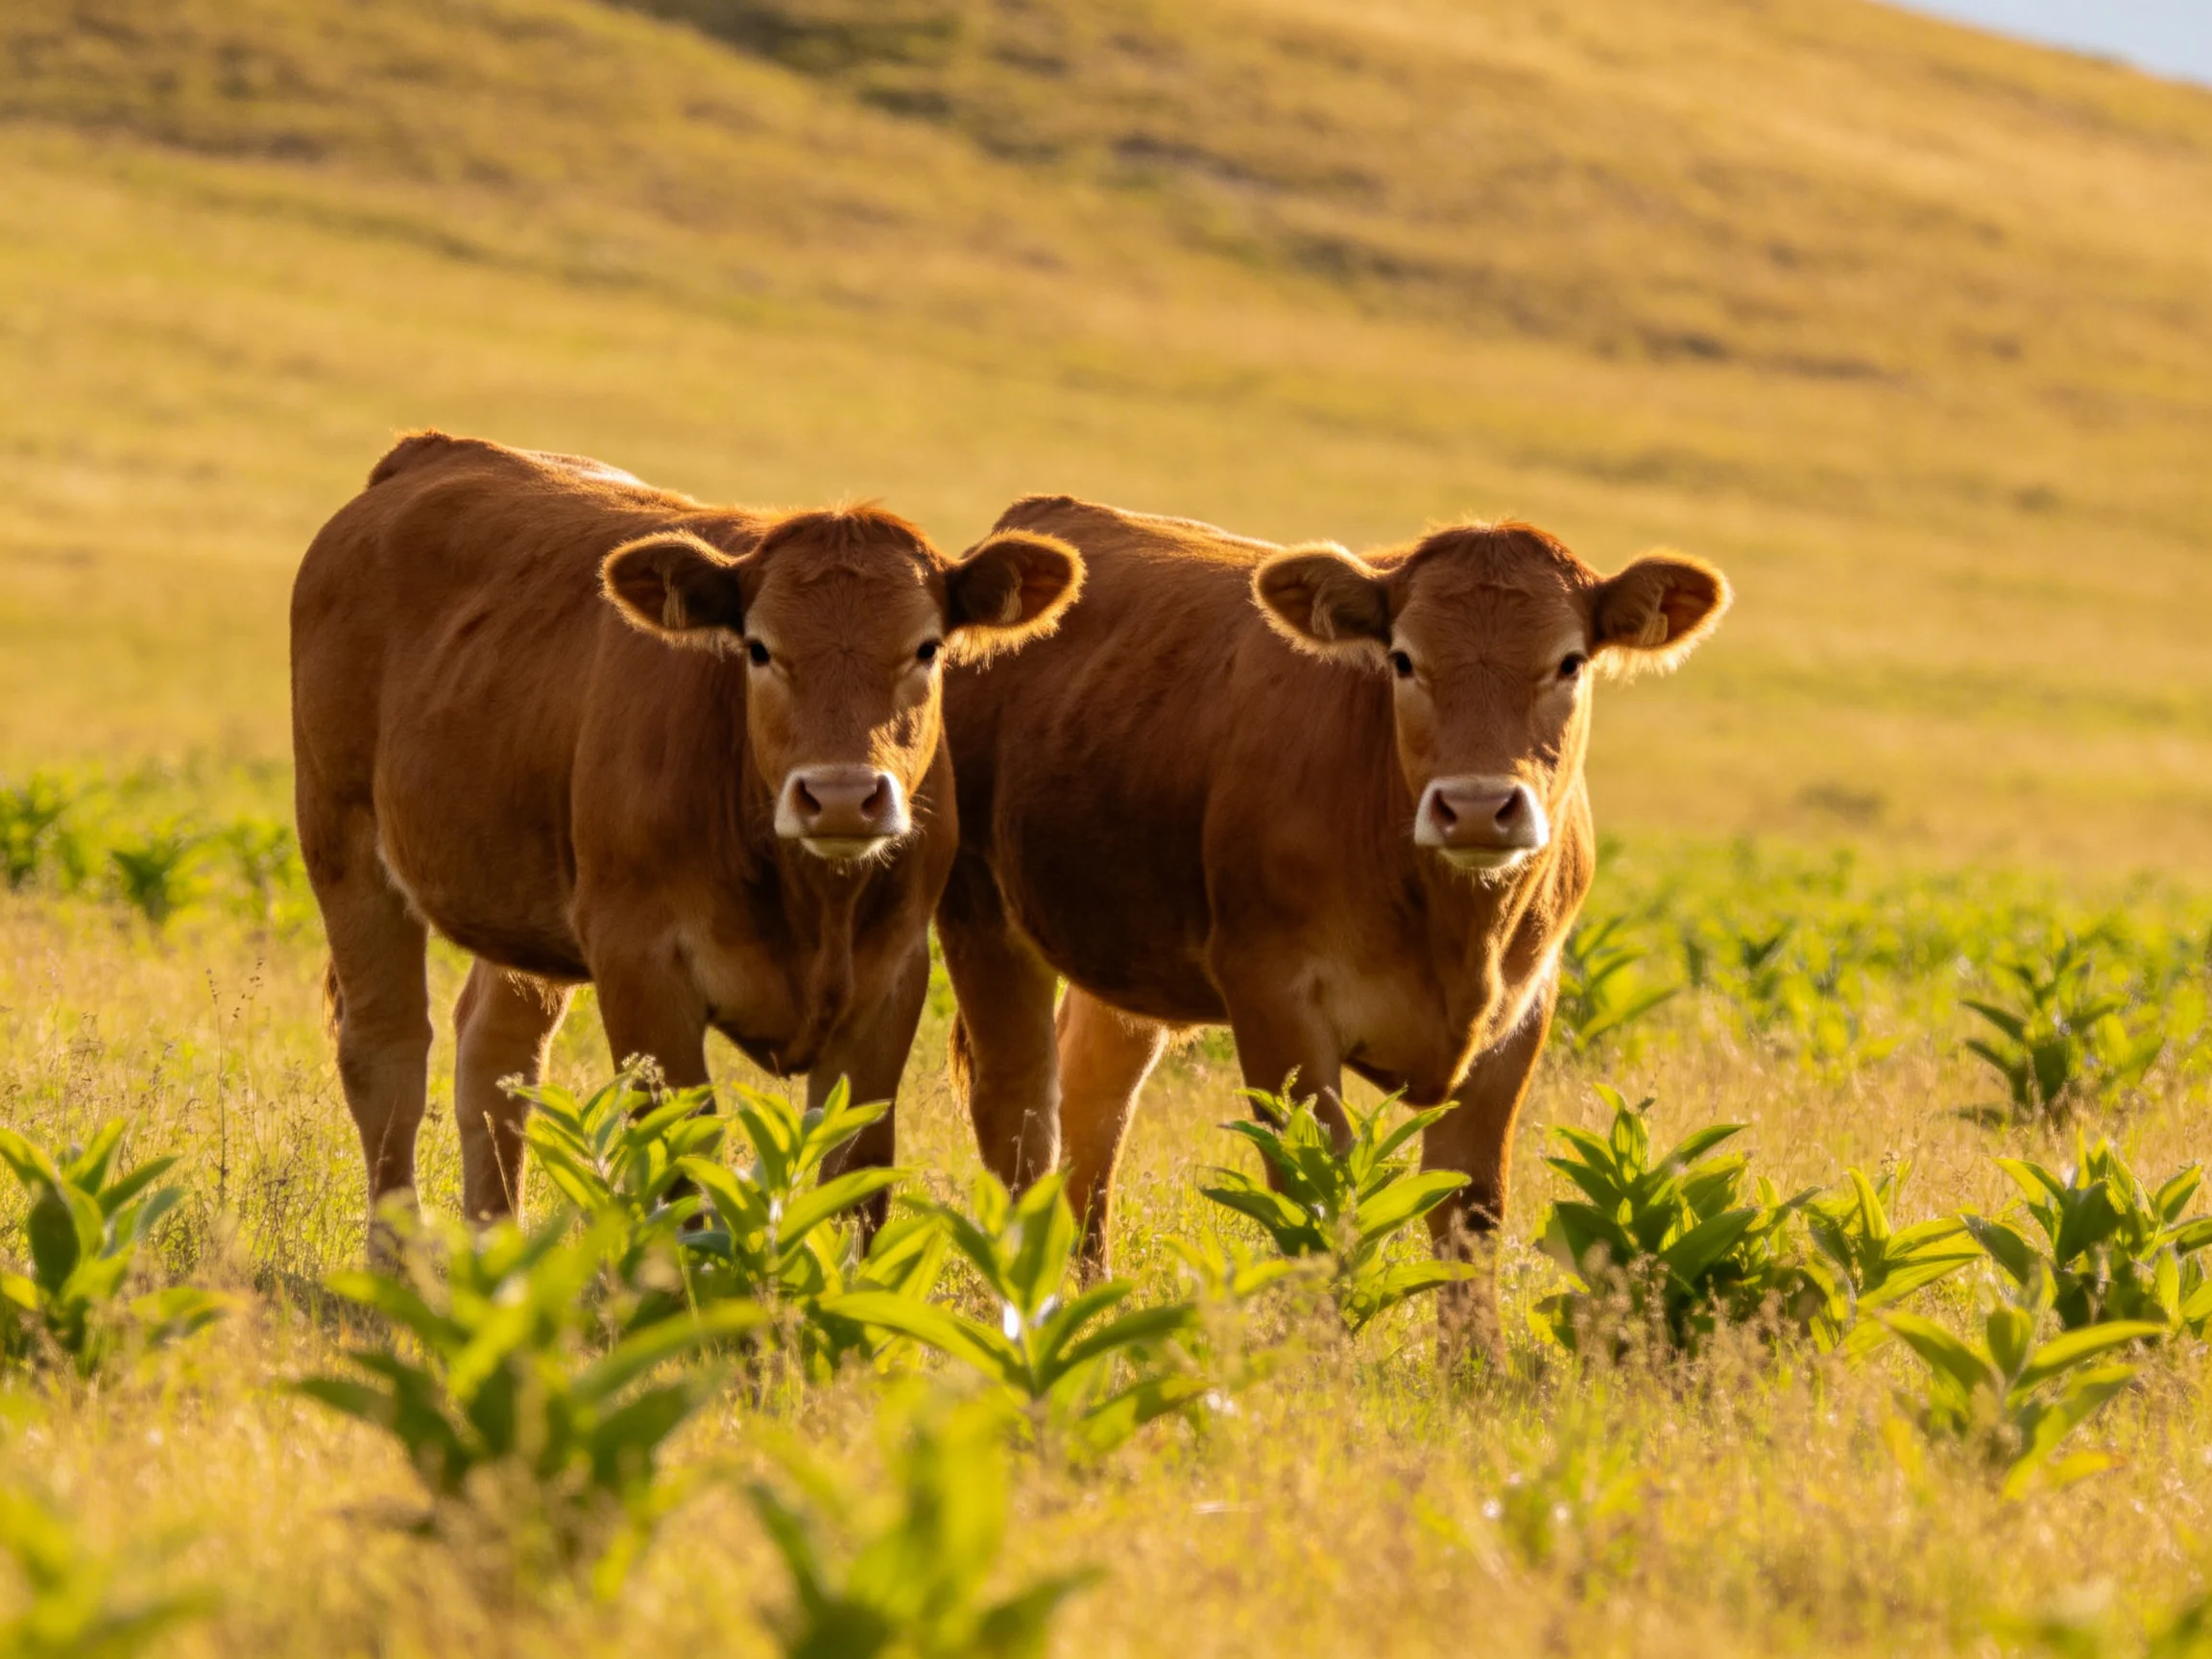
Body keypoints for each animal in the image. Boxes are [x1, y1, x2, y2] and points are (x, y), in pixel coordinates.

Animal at [291, 432, 1082, 1228]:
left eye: (926, 648)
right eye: (759, 648)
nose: (840, 796)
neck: (810, 900)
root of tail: (432, 452)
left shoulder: (890, 981)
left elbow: (852, 1186)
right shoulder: (639, 963)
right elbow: (679, 1176)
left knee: (495, 1059)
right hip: (342, 841)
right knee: (386, 1056)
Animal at [936, 495, 1727, 1350]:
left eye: (1570, 662)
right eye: (1404, 660)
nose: (1476, 806)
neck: (1456, 931)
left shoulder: (1523, 1010)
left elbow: (1470, 1209)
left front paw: (1475, 1364)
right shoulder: (1275, 997)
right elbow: (1316, 1198)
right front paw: (1323, 1357)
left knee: (1093, 1109)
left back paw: (1092, 1302)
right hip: (981, 916)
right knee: (1019, 1114)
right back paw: (1034, 1309)